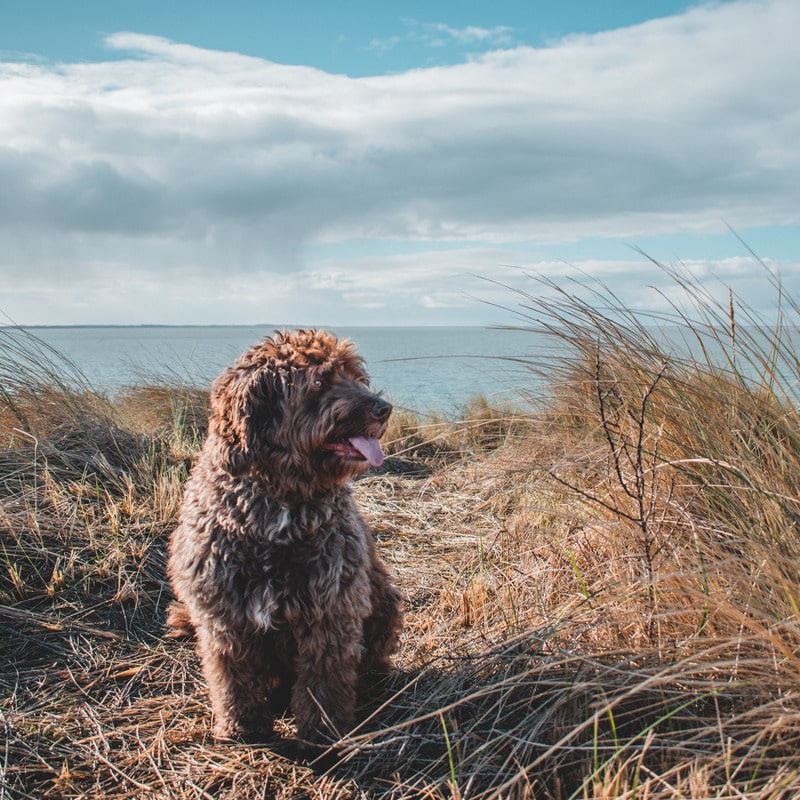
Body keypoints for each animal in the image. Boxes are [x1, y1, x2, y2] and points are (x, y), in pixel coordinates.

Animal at [170, 326, 406, 744]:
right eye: (319, 381)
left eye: (355, 377)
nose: (384, 408)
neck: (278, 505)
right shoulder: (223, 615)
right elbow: (231, 675)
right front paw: (240, 725)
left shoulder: (332, 609)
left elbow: (324, 679)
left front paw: (322, 731)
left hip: (386, 604)